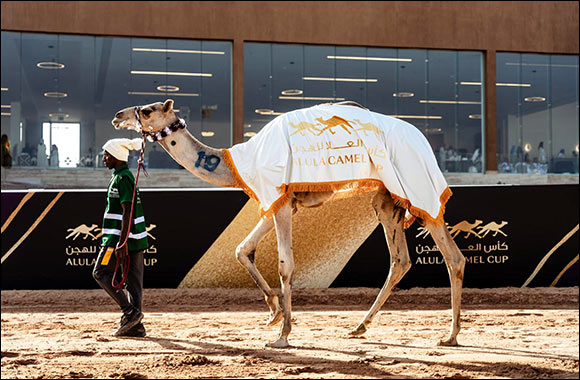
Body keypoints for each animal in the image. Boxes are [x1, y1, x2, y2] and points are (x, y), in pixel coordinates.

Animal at [112, 99, 466, 348]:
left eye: (146, 110)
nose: (118, 115)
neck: (236, 161)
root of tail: (424, 144)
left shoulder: (279, 198)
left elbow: (285, 264)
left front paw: (283, 335)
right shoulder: (278, 201)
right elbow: (242, 249)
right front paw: (274, 312)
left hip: (417, 188)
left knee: (453, 257)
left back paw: (450, 335)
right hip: (387, 198)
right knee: (400, 260)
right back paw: (359, 326)